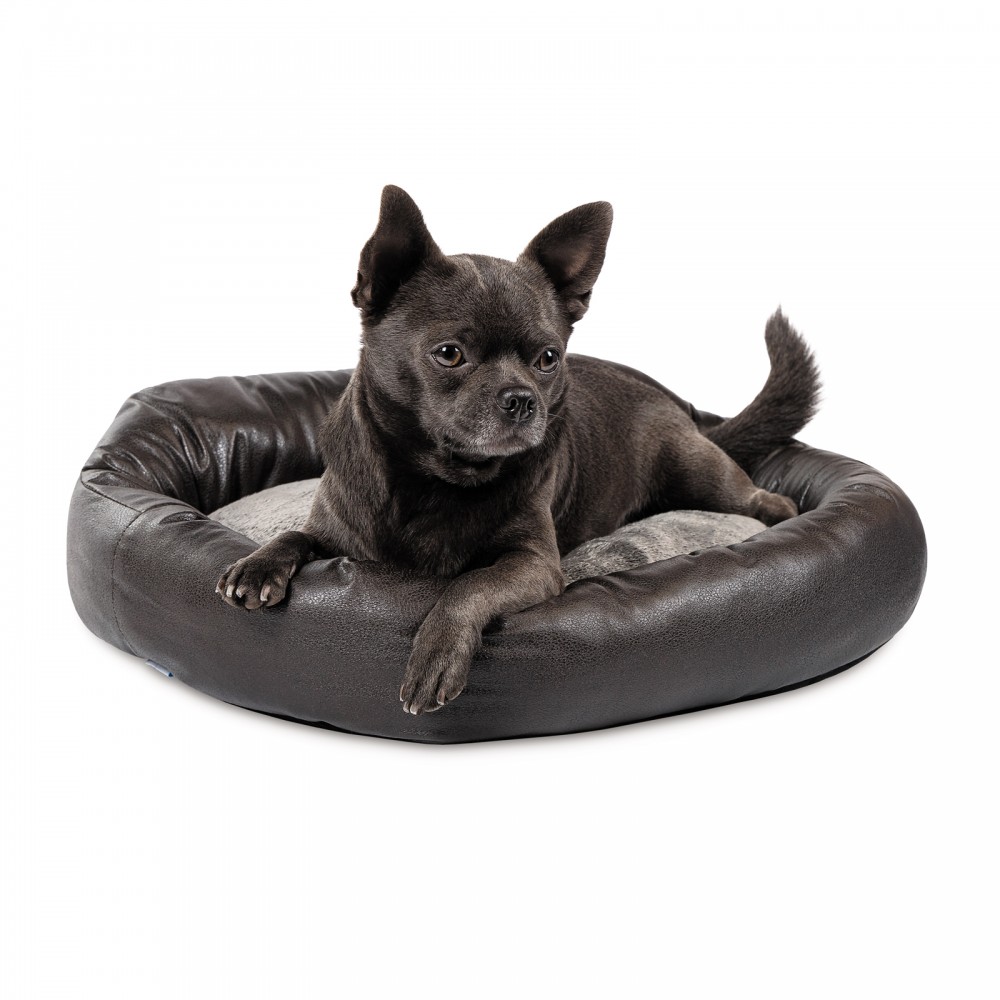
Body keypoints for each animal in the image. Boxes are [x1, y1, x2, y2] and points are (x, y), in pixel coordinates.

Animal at [217, 185, 820, 715]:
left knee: (768, 501)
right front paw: (256, 564)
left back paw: (780, 515)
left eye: (548, 359)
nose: (522, 398)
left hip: (702, 476)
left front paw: (437, 654)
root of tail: (679, 408)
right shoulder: (337, 531)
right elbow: (295, 535)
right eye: (449, 353)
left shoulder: (532, 564)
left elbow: (469, 585)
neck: (438, 478)